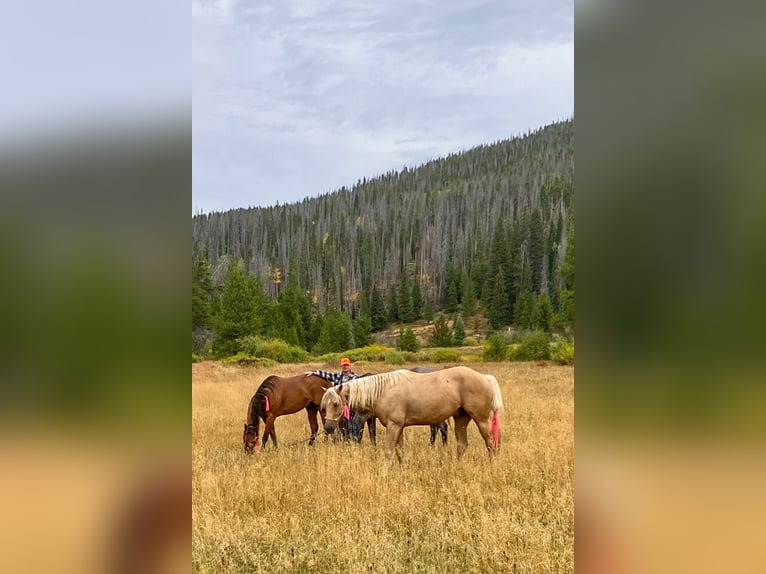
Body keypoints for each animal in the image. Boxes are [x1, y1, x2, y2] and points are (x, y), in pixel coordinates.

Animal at [320, 366, 503, 463]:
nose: (328, 427)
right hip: (461, 419)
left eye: (335, 404)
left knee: (490, 443)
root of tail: (484, 377)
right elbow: (399, 452)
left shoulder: (394, 426)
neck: (383, 391)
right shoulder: (399, 427)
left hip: (481, 420)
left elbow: (388, 452)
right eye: (324, 406)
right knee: (462, 444)